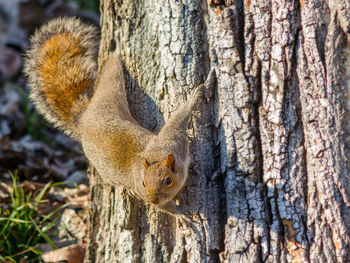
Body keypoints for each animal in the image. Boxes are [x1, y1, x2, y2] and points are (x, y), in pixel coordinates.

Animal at [24, 16, 215, 216]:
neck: (158, 154)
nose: (153, 200)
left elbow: (177, 120)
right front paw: (181, 213)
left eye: (168, 180)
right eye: (143, 183)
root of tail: (83, 118)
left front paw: (196, 96)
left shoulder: (173, 139)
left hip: (109, 91)